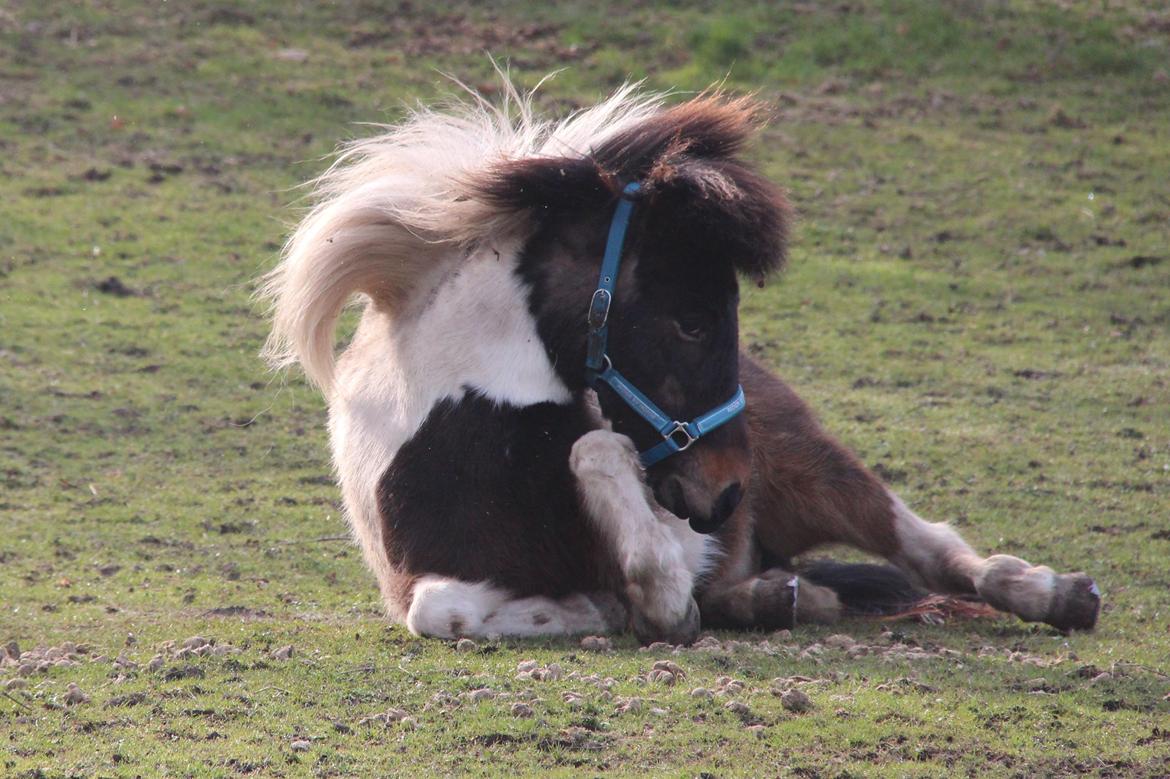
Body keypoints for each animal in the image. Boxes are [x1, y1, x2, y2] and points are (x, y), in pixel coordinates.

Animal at [260, 80, 1099, 640]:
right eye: (693, 320)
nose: (727, 492)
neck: (479, 445)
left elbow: (605, 464)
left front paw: (640, 594)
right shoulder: (422, 583)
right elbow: (450, 610)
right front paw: (598, 606)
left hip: (811, 464)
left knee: (928, 544)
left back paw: (1052, 594)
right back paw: (780, 597)